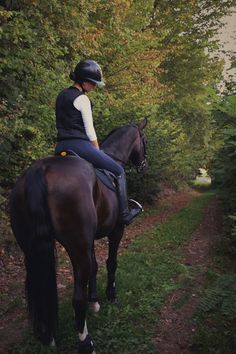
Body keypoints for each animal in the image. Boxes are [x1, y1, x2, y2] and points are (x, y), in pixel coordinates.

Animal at [11, 117, 148, 352]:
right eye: (144, 140)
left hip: (33, 249)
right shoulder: (116, 231)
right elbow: (111, 263)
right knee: (76, 297)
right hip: (77, 245)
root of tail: (40, 169)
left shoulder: (89, 240)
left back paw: (48, 337)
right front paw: (110, 296)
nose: (144, 165)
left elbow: (94, 266)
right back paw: (86, 342)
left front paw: (94, 301)